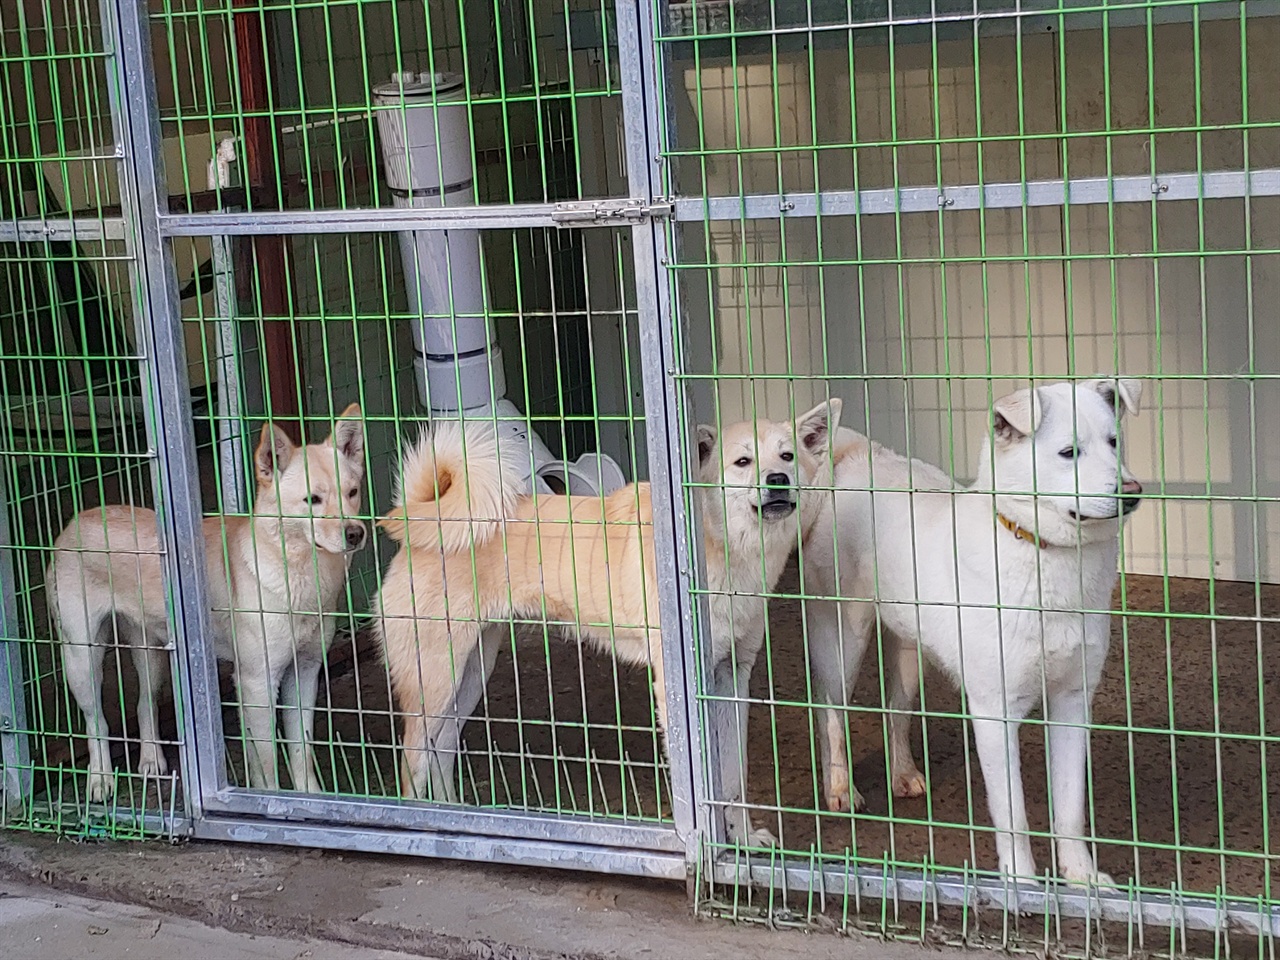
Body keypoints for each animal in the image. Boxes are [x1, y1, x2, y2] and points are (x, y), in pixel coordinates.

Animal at [49, 407, 368, 803]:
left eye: (352, 492)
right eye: (313, 500)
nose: (355, 533)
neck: (299, 574)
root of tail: (77, 519)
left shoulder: (304, 673)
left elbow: (300, 750)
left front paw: (309, 798)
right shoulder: (257, 682)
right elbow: (268, 761)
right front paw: (273, 800)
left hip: (151, 654)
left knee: (145, 703)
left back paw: (151, 760)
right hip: (82, 656)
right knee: (96, 721)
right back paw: (100, 779)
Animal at [373, 401, 844, 844]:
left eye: (787, 456)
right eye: (742, 462)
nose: (777, 480)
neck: (718, 543)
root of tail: (426, 516)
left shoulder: (733, 677)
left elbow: (734, 777)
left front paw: (743, 840)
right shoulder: (679, 689)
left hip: (470, 674)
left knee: (440, 750)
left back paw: (454, 815)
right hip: (435, 677)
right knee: (412, 759)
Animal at [803, 378, 1146, 885]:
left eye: (1115, 442)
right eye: (1069, 452)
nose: (1133, 492)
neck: (1043, 554)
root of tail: (856, 456)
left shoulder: (1072, 702)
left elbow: (1069, 811)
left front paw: (1081, 878)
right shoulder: (995, 713)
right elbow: (1015, 814)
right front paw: (1022, 883)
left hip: (911, 651)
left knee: (896, 712)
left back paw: (902, 773)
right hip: (842, 640)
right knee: (832, 716)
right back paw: (840, 788)